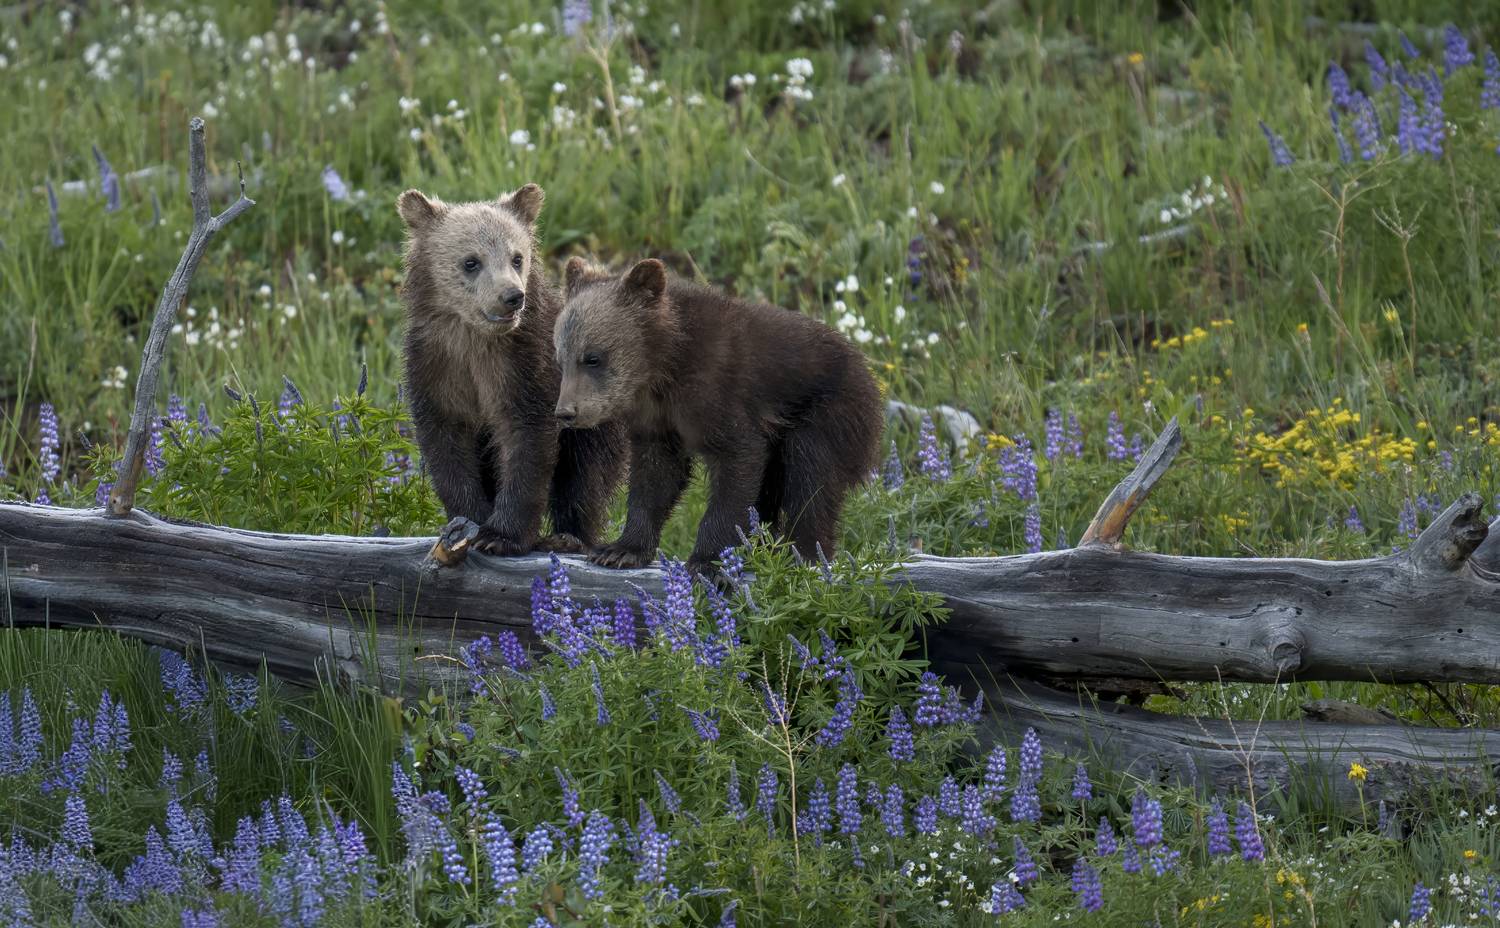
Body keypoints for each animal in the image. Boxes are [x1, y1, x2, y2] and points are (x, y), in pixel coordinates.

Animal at [397, 184, 626, 556]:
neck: (476, 342)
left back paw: (568, 537)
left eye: (517, 257)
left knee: (584, 475)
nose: (512, 296)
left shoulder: (525, 367)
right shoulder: (436, 367)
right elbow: (446, 444)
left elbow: (527, 441)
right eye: (471, 262)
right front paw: (467, 521)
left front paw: (501, 535)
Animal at [553, 257, 883, 574]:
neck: (665, 365)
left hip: (829, 414)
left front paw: (708, 561)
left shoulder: (721, 395)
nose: (566, 411)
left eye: (592, 357)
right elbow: (654, 477)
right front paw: (621, 549)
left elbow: (737, 467)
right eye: (560, 358)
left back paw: (802, 555)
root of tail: (868, 371)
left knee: (810, 478)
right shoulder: (659, 421)